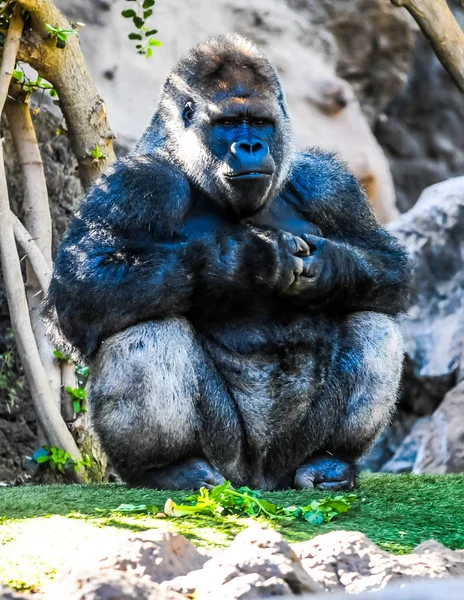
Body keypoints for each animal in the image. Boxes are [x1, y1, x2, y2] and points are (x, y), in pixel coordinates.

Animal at [45, 34, 412, 492]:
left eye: (259, 123)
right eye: (228, 123)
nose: (250, 147)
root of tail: (261, 480)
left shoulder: (329, 182)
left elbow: (389, 264)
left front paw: (331, 266)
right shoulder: (136, 182)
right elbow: (78, 290)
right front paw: (247, 260)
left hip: (289, 456)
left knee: (372, 316)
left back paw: (332, 461)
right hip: (228, 457)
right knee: (146, 324)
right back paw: (169, 467)